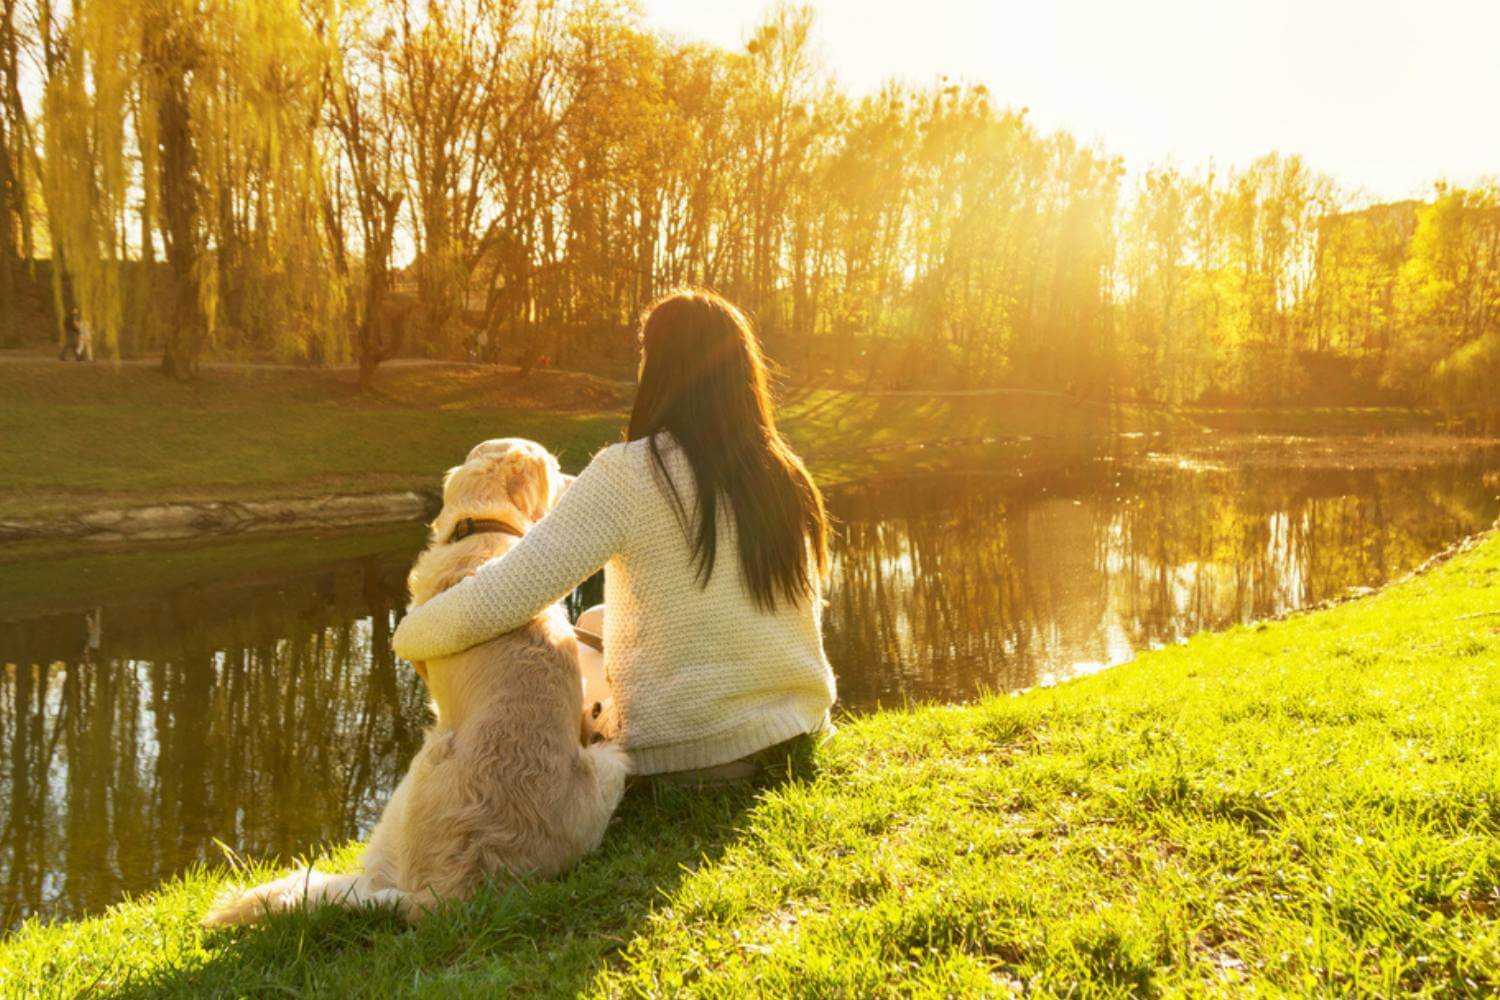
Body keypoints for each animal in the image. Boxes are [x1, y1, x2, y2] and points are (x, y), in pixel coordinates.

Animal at [202, 440, 624, 929]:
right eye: (556, 471)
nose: (579, 478)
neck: (481, 527)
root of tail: (450, 894)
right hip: (612, 761)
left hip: (414, 777)